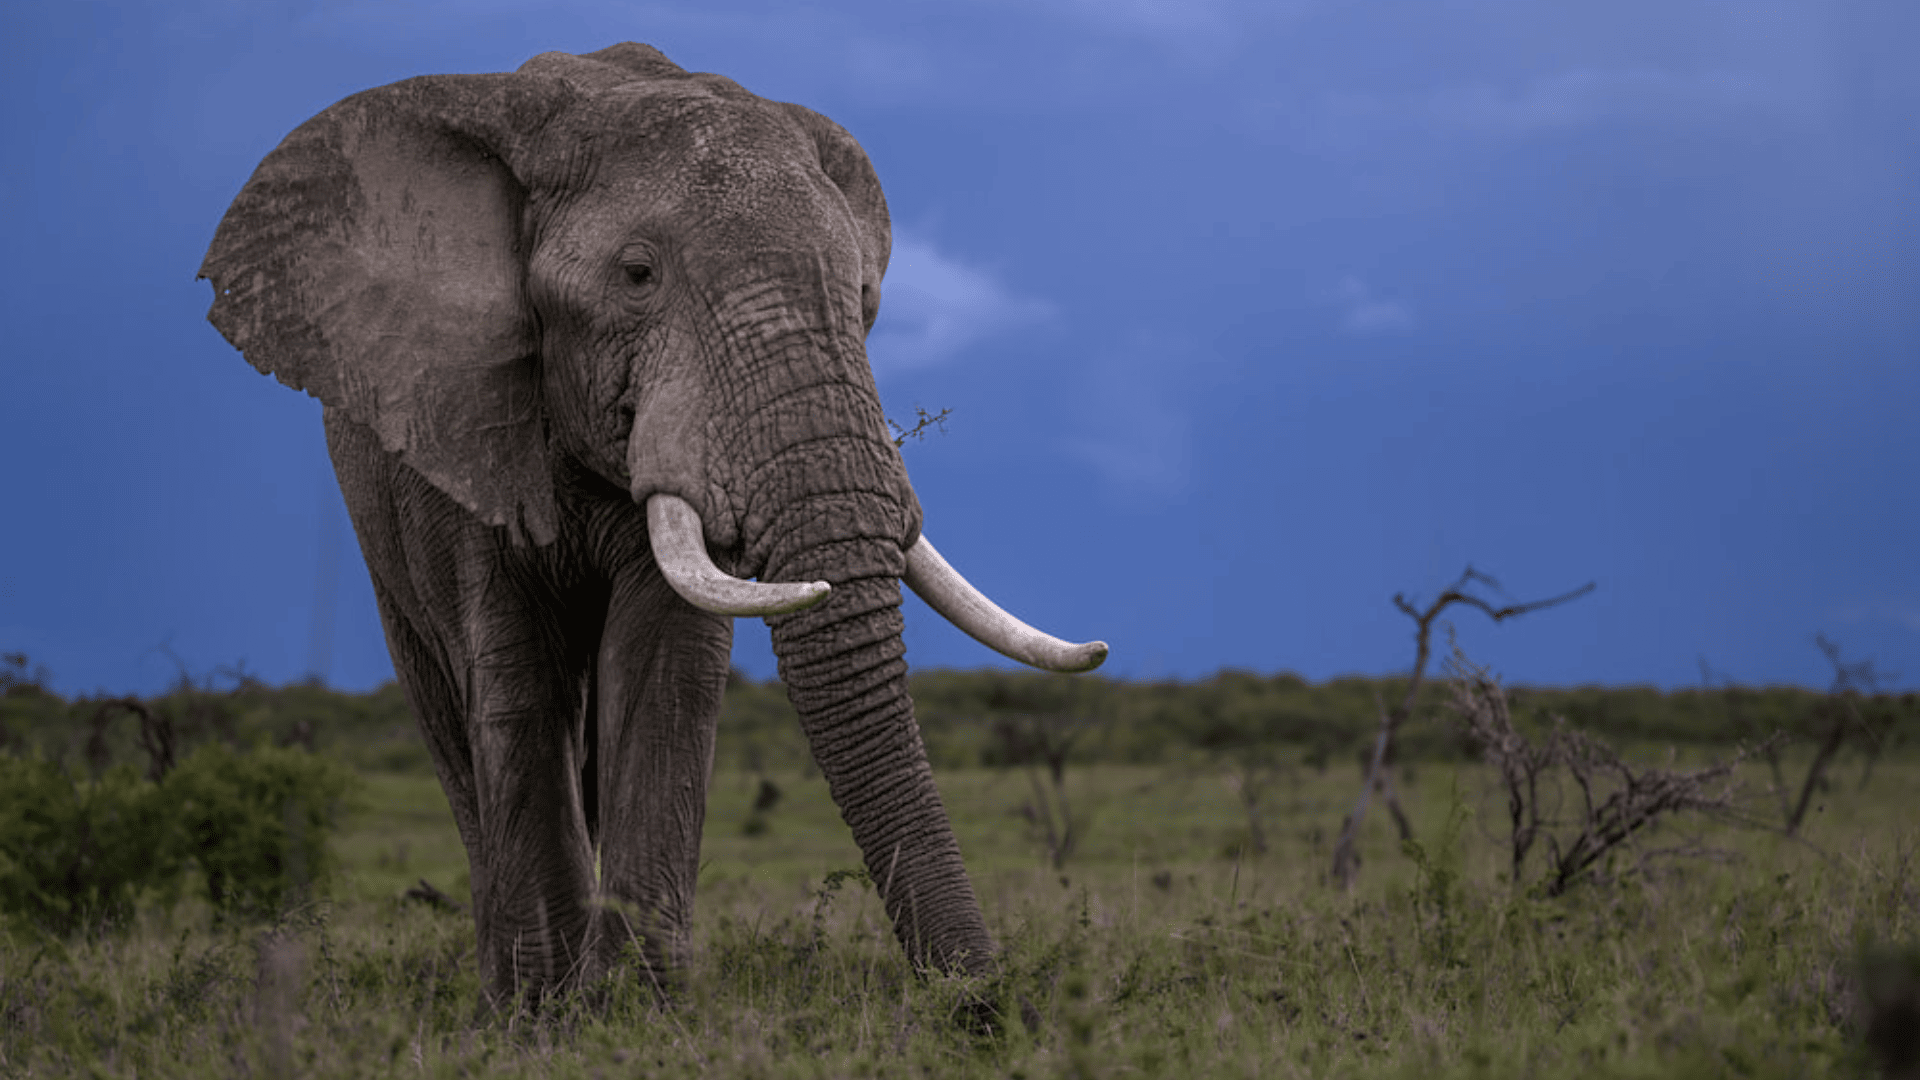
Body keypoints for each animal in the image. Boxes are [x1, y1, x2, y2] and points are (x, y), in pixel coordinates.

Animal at [198, 42, 1106, 1010]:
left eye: (863, 297)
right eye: (637, 277)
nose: (985, 1005)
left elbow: (665, 669)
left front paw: (636, 1010)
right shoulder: (461, 422)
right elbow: (516, 677)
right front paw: (544, 1016)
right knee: (453, 718)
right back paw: (500, 981)